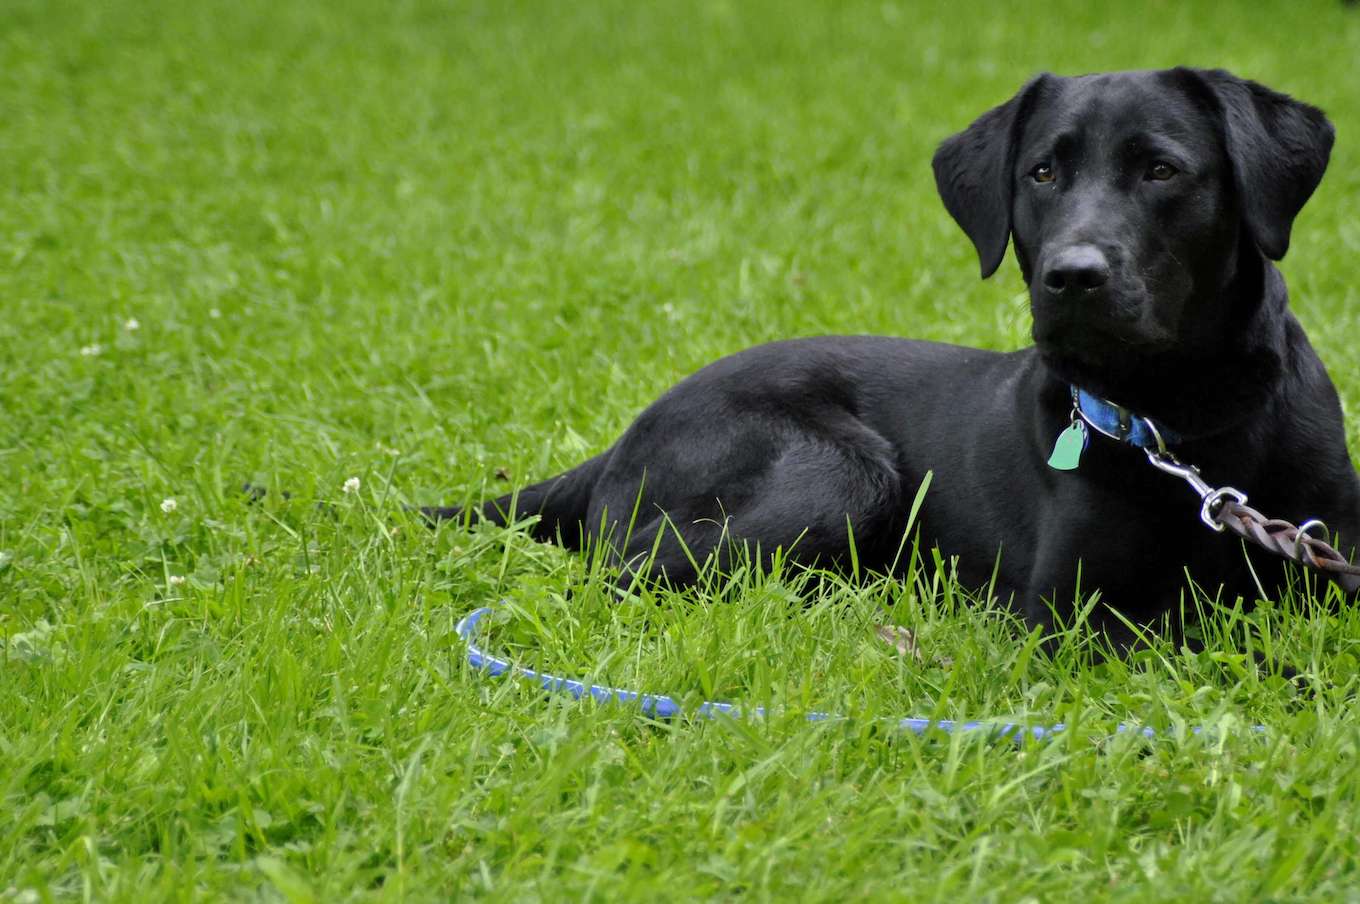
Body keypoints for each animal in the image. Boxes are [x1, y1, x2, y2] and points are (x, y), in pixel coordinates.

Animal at [432, 66, 1360, 638]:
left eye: (1162, 170)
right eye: (1042, 174)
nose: (1070, 277)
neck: (1190, 425)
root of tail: (624, 437)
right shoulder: (1073, 617)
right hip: (841, 475)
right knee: (613, 576)